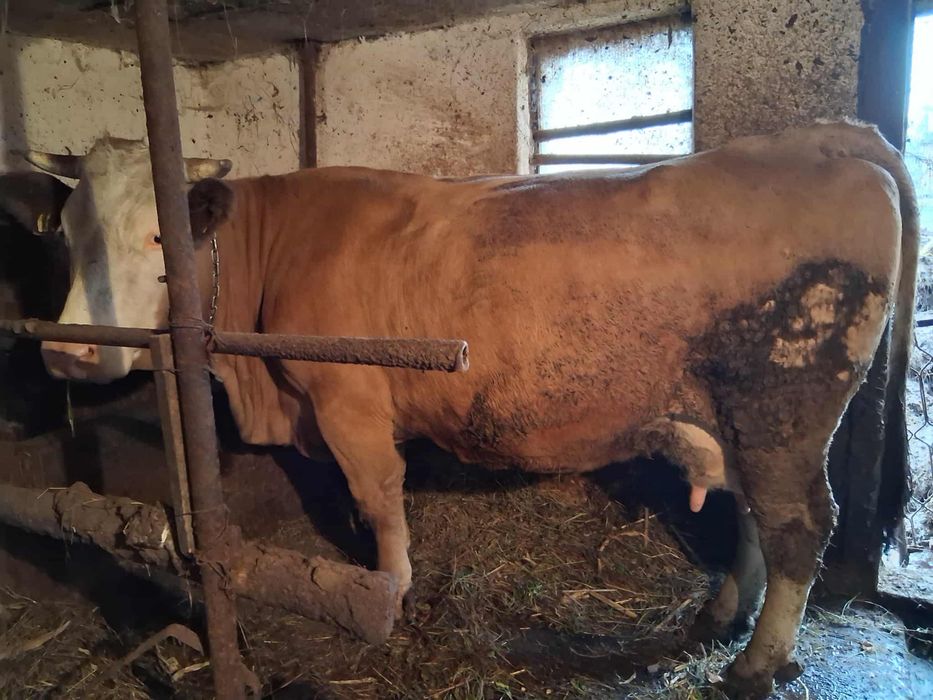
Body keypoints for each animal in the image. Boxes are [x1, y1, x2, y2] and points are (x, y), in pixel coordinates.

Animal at [24, 122, 917, 699]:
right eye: (65, 232)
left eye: (157, 237)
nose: (67, 353)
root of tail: (824, 137)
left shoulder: (347, 402)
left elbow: (379, 498)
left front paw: (386, 590)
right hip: (739, 417)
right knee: (754, 517)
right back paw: (721, 615)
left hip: (783, 403)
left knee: (799, 523)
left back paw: (753, 666)